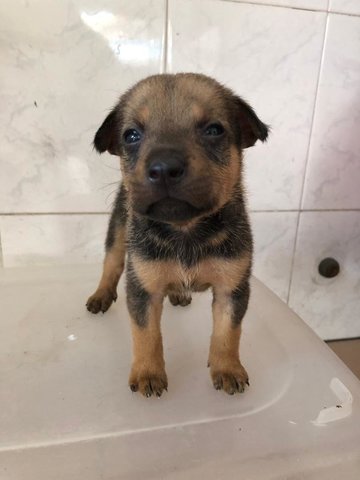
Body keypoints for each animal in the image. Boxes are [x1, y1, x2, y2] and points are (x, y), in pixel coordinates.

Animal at [86, 74, 268, 398]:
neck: (185, 229)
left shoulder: (232, 289)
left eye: (214, 130)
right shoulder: (143, 289)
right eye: (131, 135)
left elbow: (227, 332)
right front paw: (148, 373)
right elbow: (146, 334)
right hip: (118, 230)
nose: (164, 168)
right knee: (111, 263)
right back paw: (101, 295)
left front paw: (227, 369)